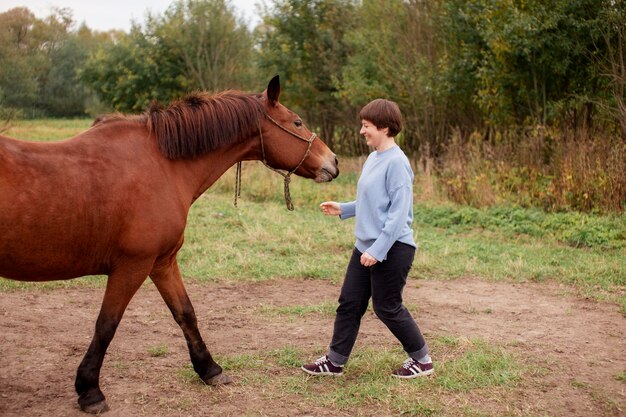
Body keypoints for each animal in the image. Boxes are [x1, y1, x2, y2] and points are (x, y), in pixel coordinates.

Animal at [0, 75, 336, 412]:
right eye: (297, 122)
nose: (333, 162)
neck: (162, 164)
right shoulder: (132, 266)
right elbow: (106, 325)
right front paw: (90, 390)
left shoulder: (162, 262)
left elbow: (185, 313)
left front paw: (209, 369)